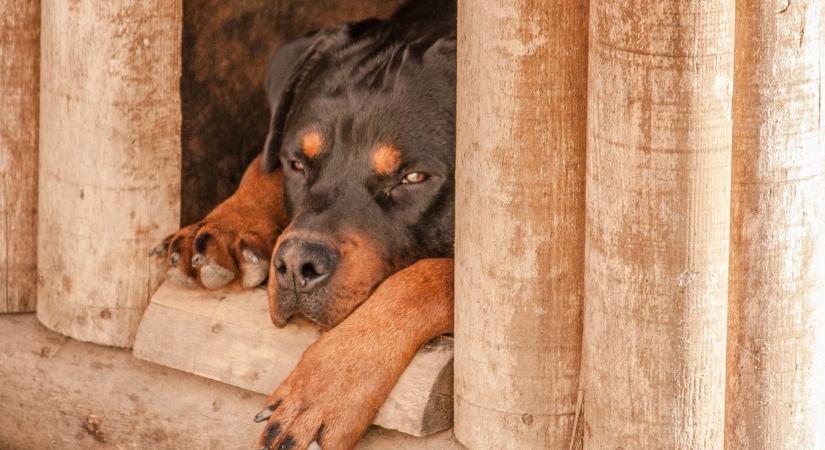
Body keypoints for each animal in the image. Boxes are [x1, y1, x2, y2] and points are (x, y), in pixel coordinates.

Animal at [155, 1, 458, 448]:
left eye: (414, 178)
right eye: (297, 163)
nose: (298, 265)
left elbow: (426, 277)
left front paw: (322, 390)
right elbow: (261, 164)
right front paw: (223, 226)